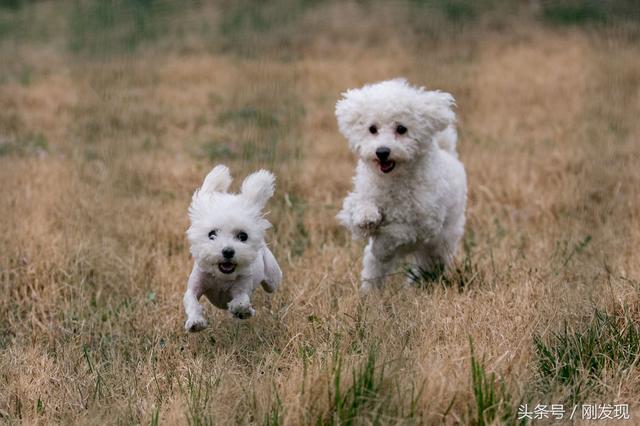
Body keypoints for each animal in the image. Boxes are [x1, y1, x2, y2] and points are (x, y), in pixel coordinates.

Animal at [180, 165, 280, 332]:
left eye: (243, 236)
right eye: (212, 234)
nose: (228, 251)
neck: (222, 277)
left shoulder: (243, 287)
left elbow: (241, 302)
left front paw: (243, 311)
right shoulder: (195, 284)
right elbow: (192, 300)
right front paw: (195, 322)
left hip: (273, 278)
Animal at [338, 78, 468, 292]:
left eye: (401, 129)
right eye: (372, 129)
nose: (382, 151)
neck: (394, 179)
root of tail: (449, 153)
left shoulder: (423, 224)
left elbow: (396, 231)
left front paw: (381, 245)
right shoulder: (358, 198)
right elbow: (358, 208)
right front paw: (367, 218)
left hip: (440, 242)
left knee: (427, 263)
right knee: (374, 268)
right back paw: (369, 293)